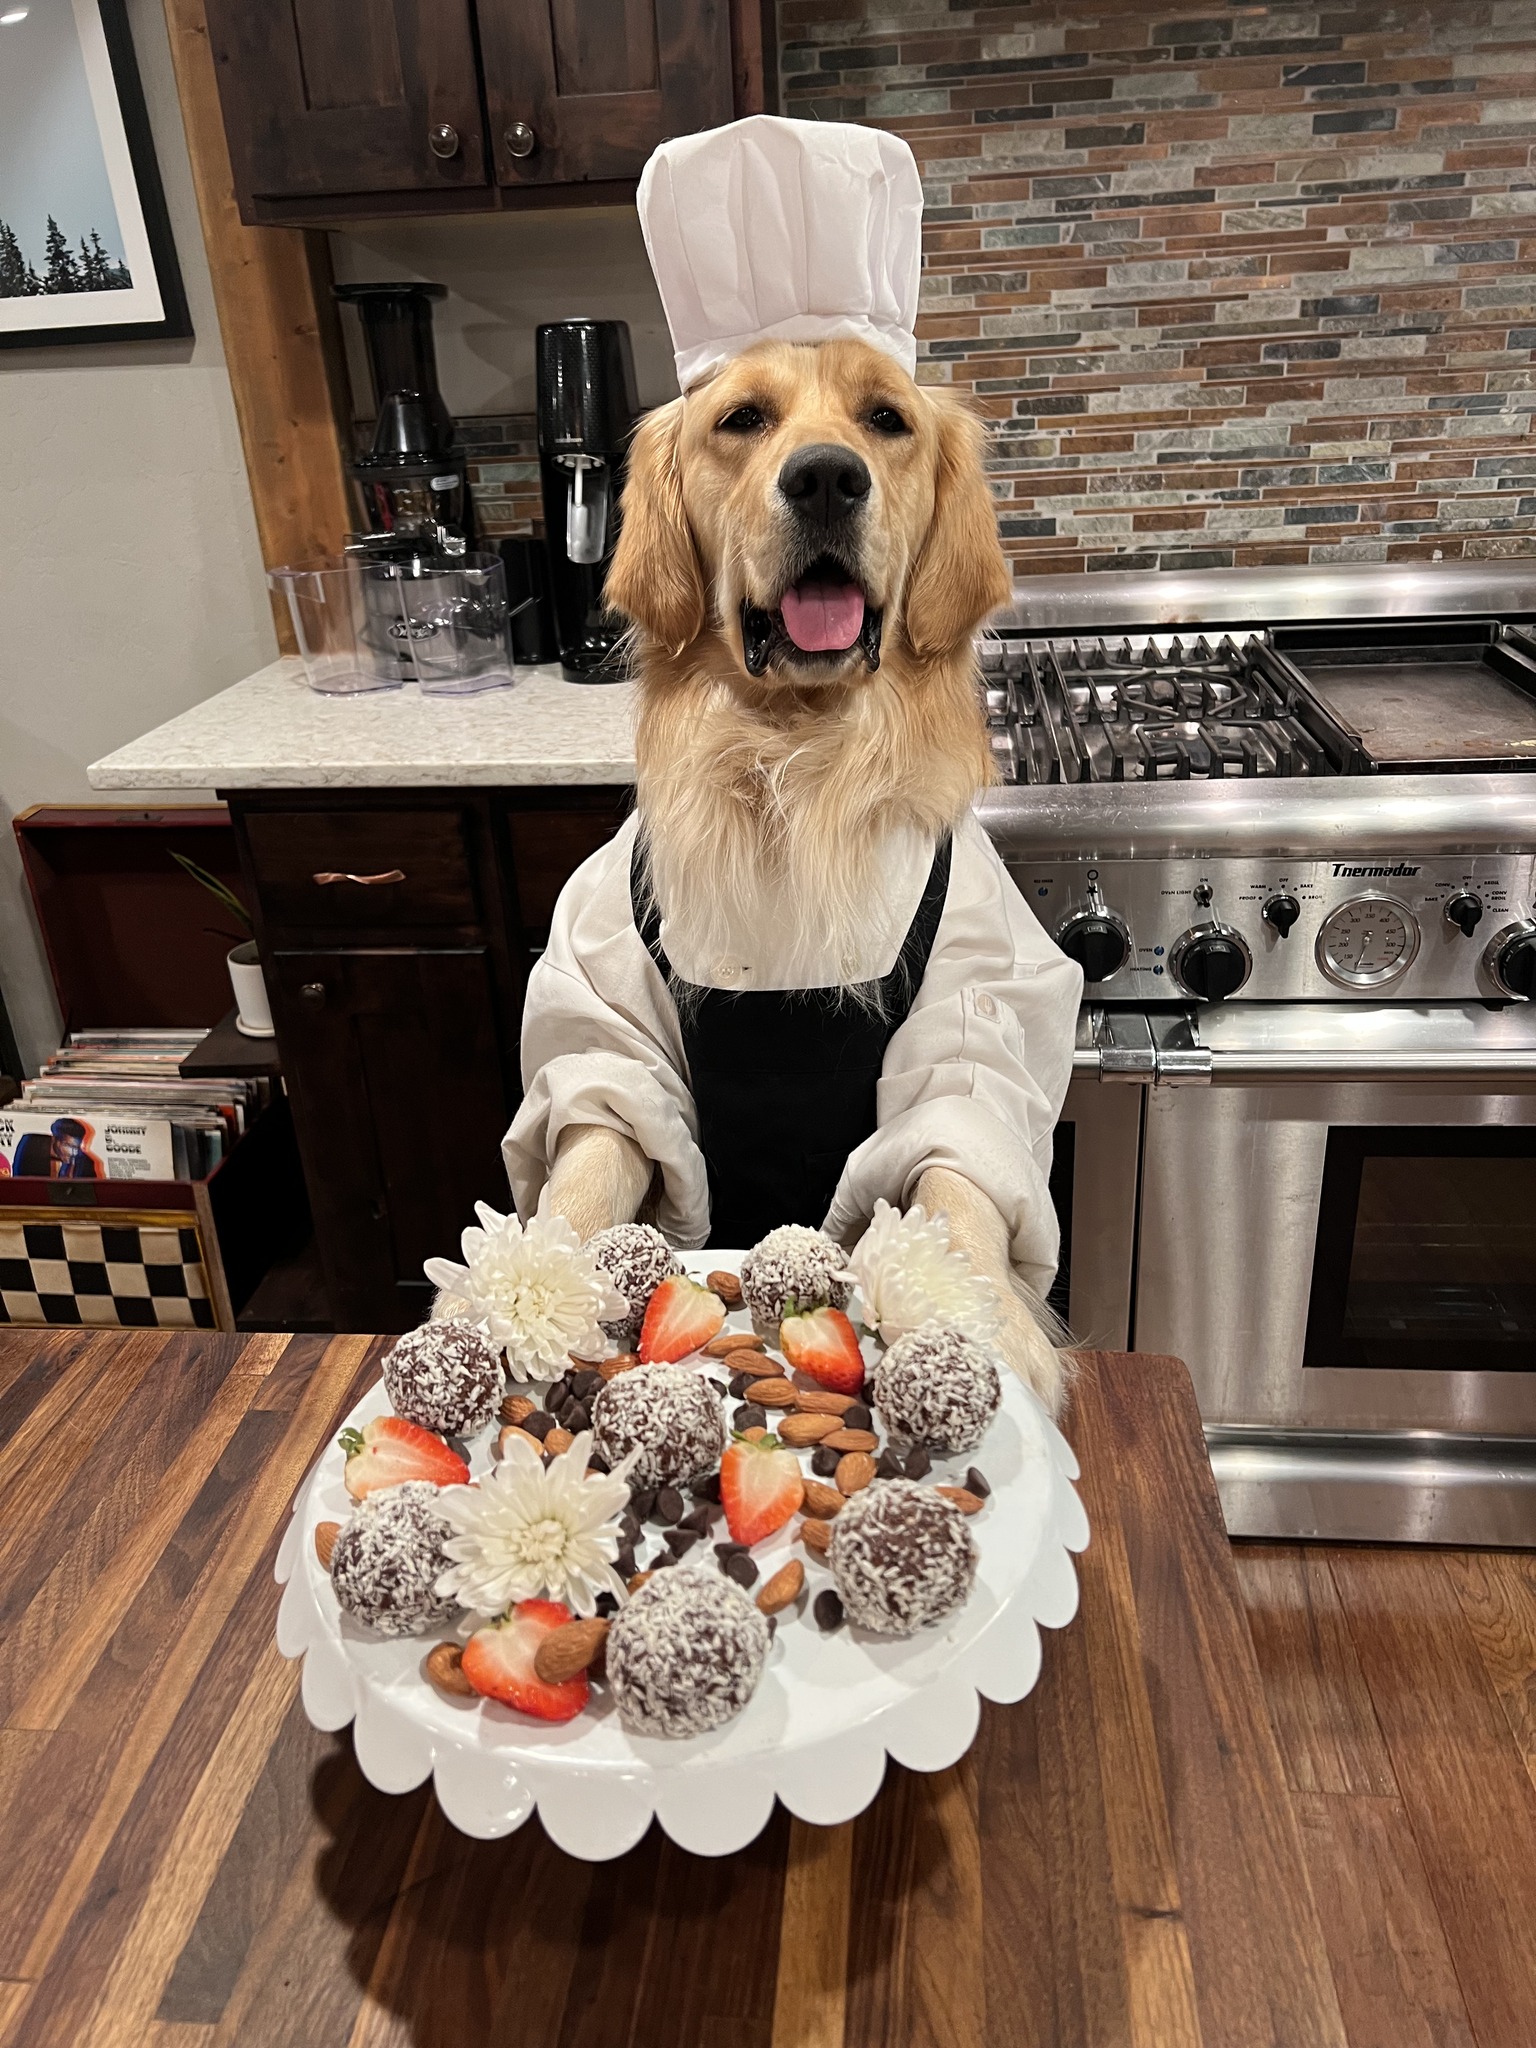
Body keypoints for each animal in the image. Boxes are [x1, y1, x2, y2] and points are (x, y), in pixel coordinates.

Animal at [528, 339, 1073, 1425]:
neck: (795, 755)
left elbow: (956, 1161)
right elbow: (594, 1144)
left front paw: (992, 1323)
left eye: (886, 419)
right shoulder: (609, 1011)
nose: (826, 477)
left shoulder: (979, 994)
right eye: (741, 419)